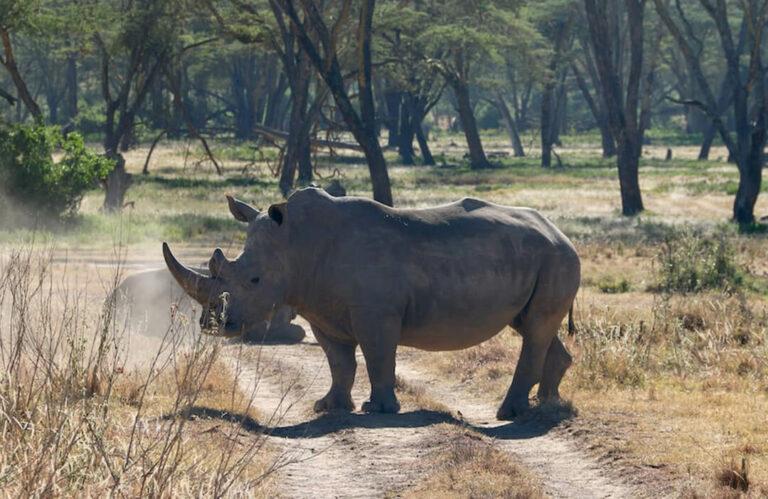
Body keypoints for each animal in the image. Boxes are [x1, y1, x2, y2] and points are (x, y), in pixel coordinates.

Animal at [163, 188, 580, 419]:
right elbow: (339, 362)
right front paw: (329, 406)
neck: (297, 244)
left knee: (536, 328)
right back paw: (548, 406)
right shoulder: (322, 310)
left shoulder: (376, 314)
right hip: (536, 258)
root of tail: (561, 232)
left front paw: (378, 410)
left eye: (254, 281)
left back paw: (511, 413)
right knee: (534, 326)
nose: (214, 325)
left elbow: (378, 357)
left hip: (556, 257)